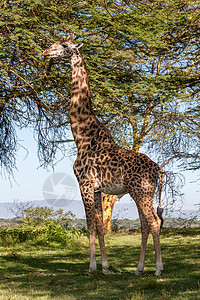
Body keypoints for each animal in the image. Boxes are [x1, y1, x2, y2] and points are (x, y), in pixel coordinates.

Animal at [43, 34, 163, 276]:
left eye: (63, 45)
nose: (45, 52)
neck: (81, 135)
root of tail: (158, 169)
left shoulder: (85, 183)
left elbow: (89, 224)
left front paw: (91, 267)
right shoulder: (98, 189)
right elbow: (99, 225)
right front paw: (105, 267)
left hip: (141, 191)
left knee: (154, 222)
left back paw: (157, 269)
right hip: (143, 193)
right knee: (145, 224)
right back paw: (139, 268)